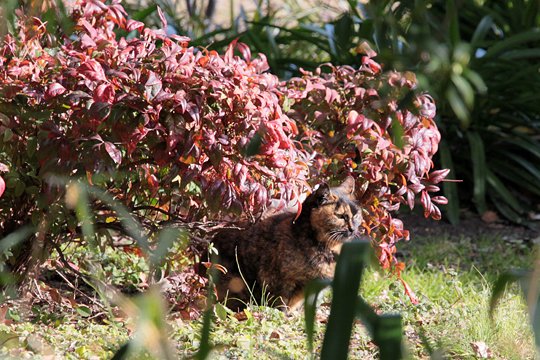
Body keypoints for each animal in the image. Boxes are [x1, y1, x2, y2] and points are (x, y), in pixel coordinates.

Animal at [210, 176, 362, 310]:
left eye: (356, 215)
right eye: (341, 216)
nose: (353, 229)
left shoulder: (315, 288)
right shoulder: (278, 282)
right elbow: (280, 305)